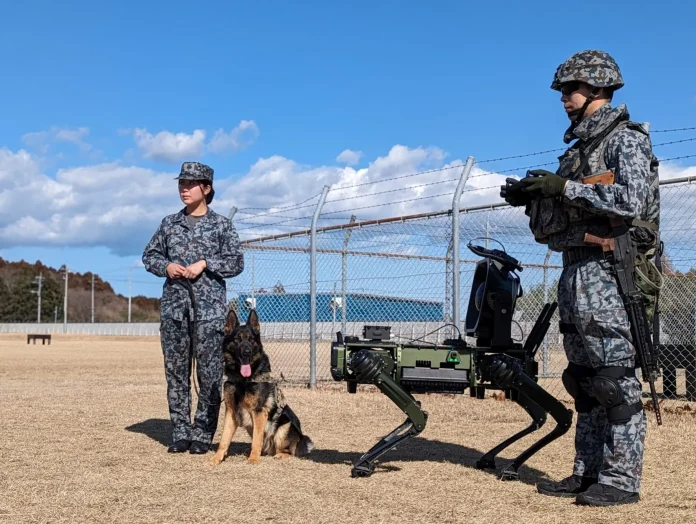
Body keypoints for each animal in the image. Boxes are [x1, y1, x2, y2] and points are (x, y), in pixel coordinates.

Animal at [209, 310, 312, 464]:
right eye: (237, 339)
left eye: (251, 339)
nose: (247, 352)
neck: (243, 381)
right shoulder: (231, 412)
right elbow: (224, 439)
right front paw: (217, 458)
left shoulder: (258, 412)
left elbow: (257, 440)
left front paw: (253, 459)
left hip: (284, 426)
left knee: (289, 451)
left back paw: (279, 455)